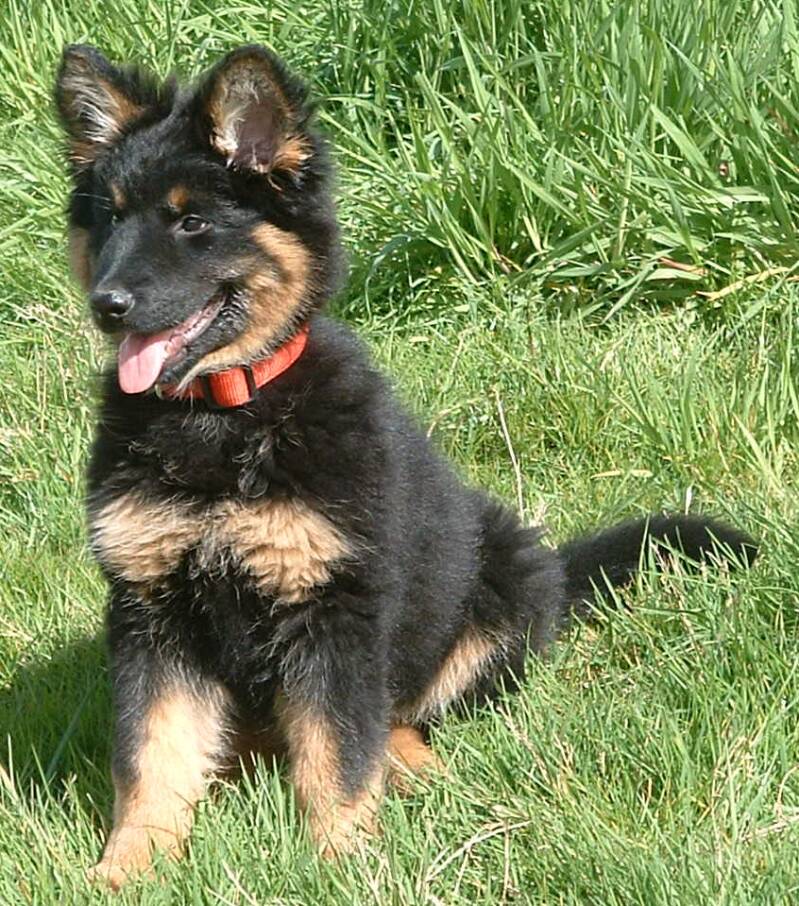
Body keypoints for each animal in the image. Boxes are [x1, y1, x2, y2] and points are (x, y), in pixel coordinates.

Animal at [54, 44, 757, 889]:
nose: (108, 304)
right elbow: (151, 755)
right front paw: (130, 864)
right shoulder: (150, 608)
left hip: (498, 587)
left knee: (395, 716)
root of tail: (553, 569)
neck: (220, 417)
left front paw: (342, 861)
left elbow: (336, 749)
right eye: (110, 217)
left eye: (193, 221)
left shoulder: (335, 607)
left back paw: (412, 766)